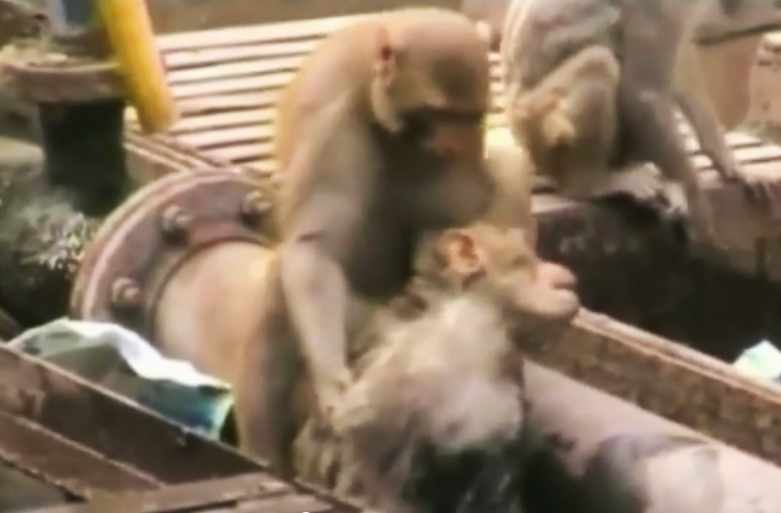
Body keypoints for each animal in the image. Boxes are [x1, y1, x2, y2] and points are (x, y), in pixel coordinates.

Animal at [232, 8, 497, 477]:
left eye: (471, 115)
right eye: (437, 111)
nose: (452, 143)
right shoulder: (336, 125)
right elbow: (314, 250)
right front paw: (332, 381)